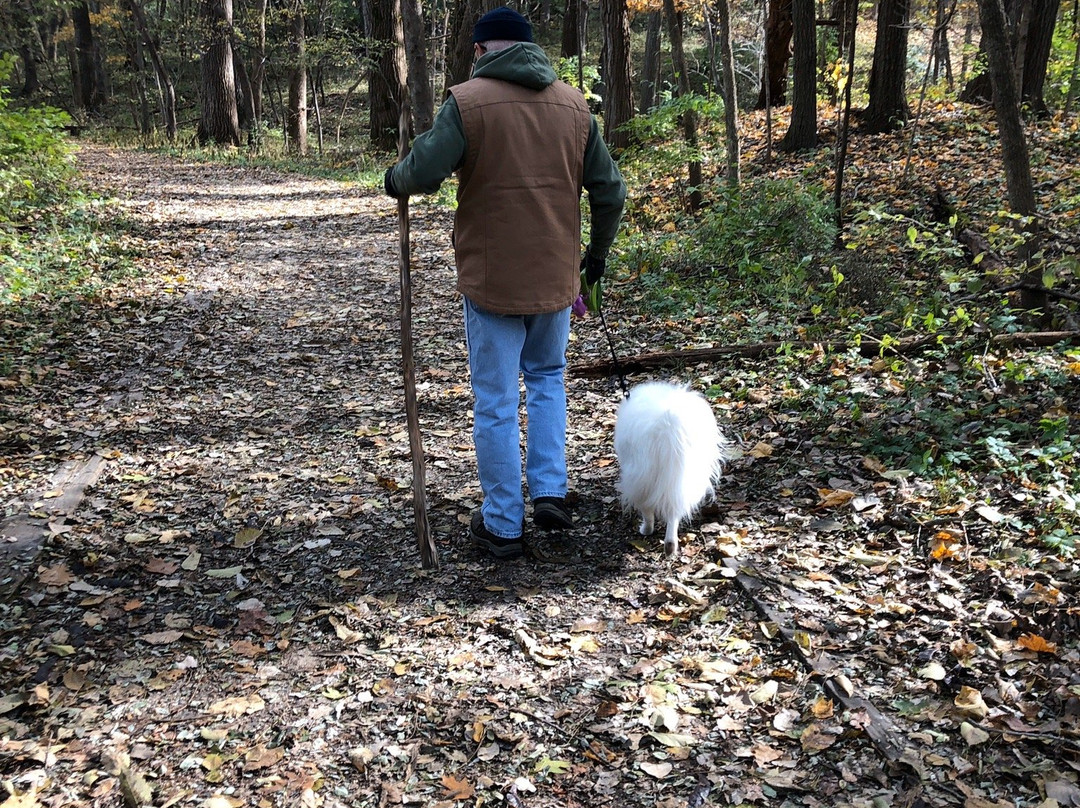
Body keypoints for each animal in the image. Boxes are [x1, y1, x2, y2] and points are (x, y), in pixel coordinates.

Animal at [617, 380, 725, 557]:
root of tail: (671, 425)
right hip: (683, 479)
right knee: (674, 511)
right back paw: (670, 545)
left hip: (642, 477)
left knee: (647, 507)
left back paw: (648, 530)